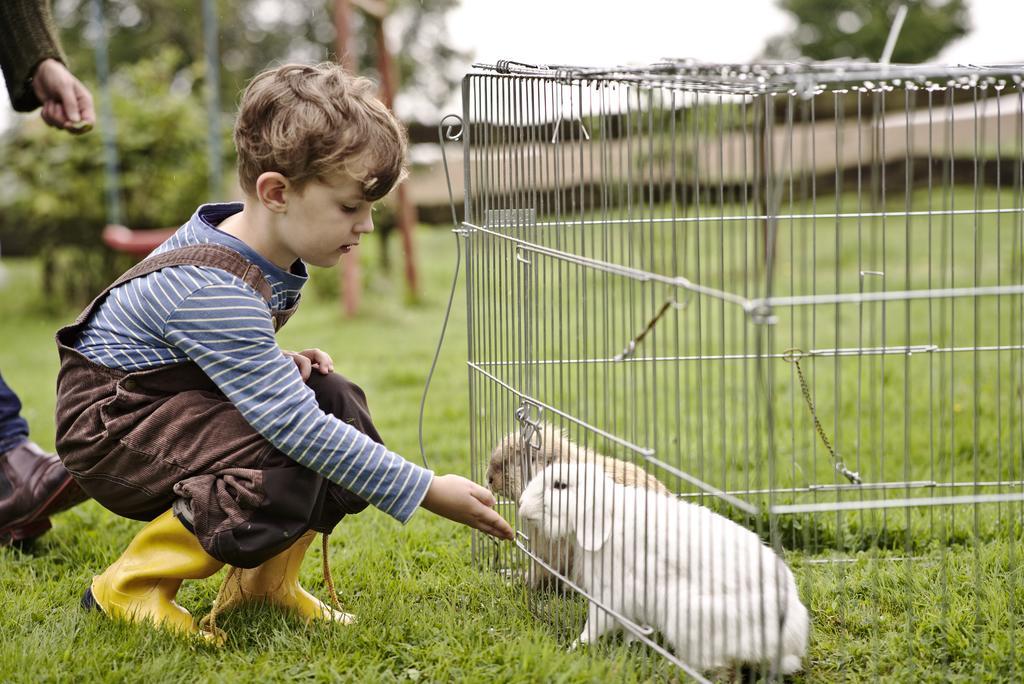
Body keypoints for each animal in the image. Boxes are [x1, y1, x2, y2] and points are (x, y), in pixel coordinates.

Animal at [520, 456, 806, 675]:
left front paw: (574, 647)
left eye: (560, 485)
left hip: (690, 618)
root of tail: (790, 636)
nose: (522, 505)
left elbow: (596, 624)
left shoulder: (610, 594)